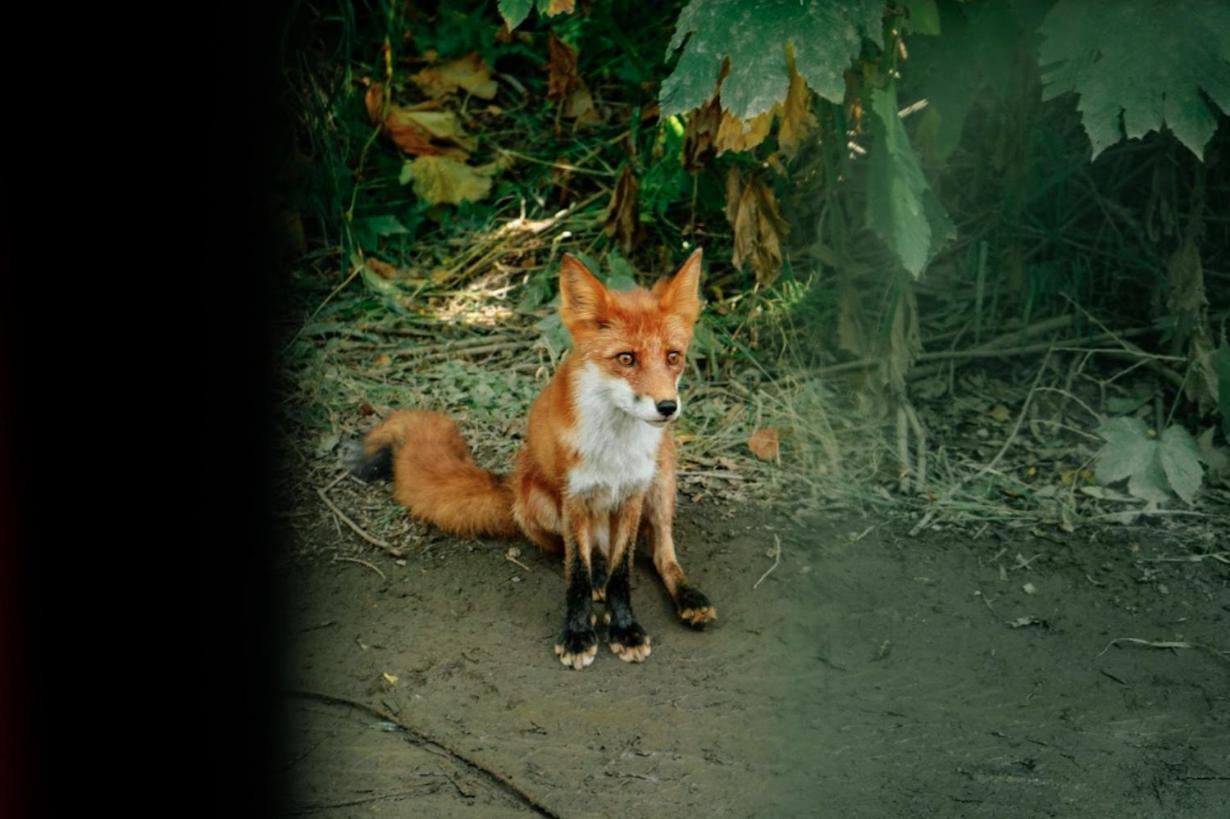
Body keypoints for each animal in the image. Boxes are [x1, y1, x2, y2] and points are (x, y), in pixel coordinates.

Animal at [341, 250, 718, 668]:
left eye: (673, 357)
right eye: (626, 358)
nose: (667, 407)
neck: (615, 449)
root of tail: (512, 483)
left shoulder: (633, 494)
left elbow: (623, 574)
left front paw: (624, 629)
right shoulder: (575, 498)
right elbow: (577, 574)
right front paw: (578, 634)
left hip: (662, 483)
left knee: (661, 554)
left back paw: (688, 597)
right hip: (538, 506)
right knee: (589, 556)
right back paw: (598, 582)